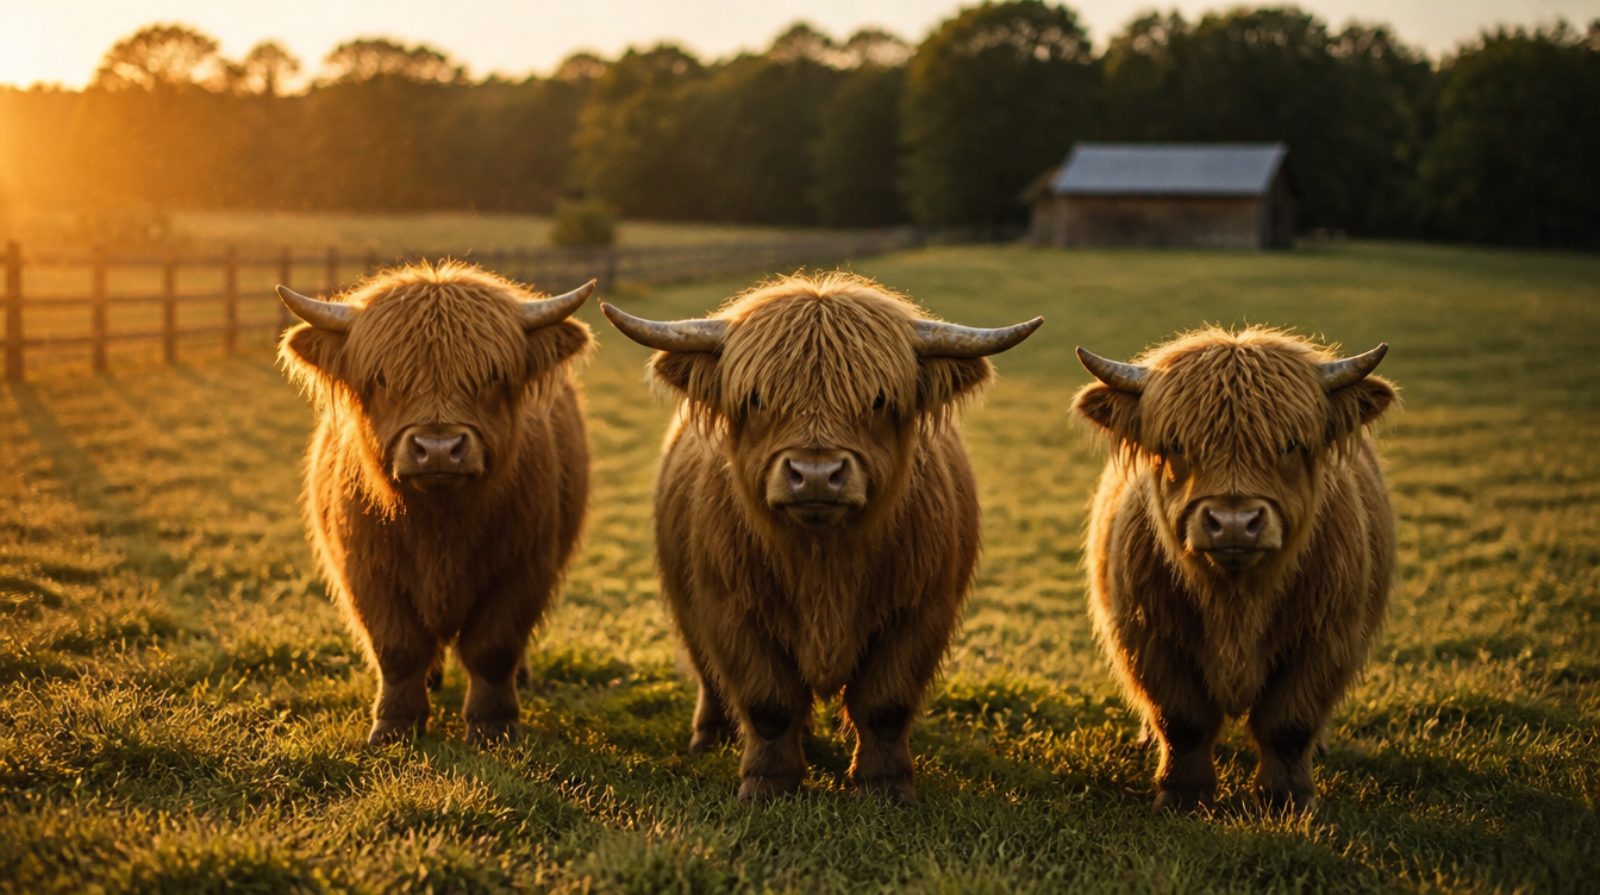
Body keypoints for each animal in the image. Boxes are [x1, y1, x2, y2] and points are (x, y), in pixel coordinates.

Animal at [275, 262, 594, 745]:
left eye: (492, 376)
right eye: (382, 379)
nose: (439, 449)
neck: (439, 527)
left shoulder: (524, 567)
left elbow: (494, 648)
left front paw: (493, 724)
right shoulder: (364, 569)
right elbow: (398, 648)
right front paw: (394, 724)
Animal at [600, 272, 1041, 803]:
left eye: (878, 399)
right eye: (756, 398)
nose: (814, 475)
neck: (823, 564)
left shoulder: (921, 610)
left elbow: (885, 705)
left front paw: (885, 786)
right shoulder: (729, 608)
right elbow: (768, 704)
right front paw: (768, 784)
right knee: (709, 677)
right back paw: (708, 738)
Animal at [1073, 326, 1397, 813]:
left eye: (1289, 443)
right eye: (1176, 444)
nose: (1233, 523)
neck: (1236, 598)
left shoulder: (1326, 637)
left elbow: (1289, 724)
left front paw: (1286, 798)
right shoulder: (1148, 637)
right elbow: (1182, 720)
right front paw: (1183, 794)